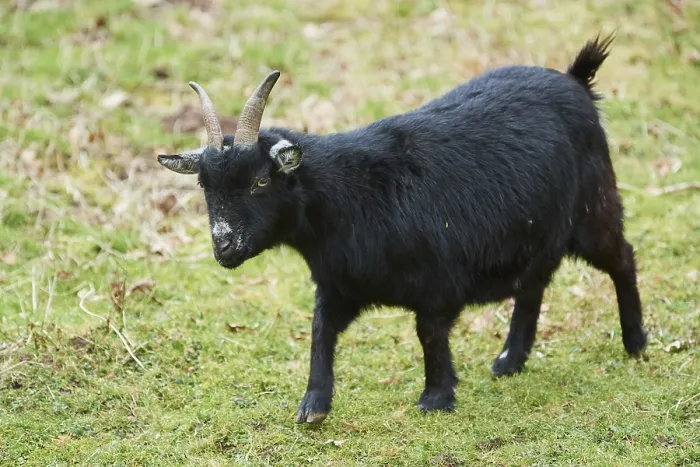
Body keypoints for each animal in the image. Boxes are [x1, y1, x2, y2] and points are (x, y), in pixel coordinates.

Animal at [158, 34, 647, 424]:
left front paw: (436, 397)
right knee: (534, 282)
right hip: (535, 228)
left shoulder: (437, 283)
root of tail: (575, 80)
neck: (348, 197)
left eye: (260, 181)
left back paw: (636, 343)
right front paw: (313, 405)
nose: (224, 245)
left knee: (621, 258)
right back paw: (510, 360)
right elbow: (320, 332)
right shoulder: (338, 284)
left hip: (593, 209)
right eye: (204, 185)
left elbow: (428, 334)